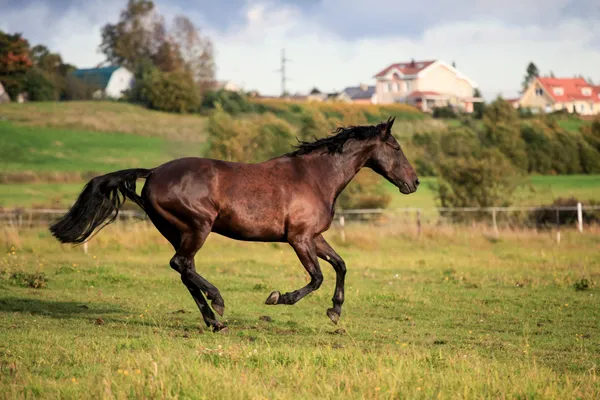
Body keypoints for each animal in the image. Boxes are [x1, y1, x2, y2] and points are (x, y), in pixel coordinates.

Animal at [50, 116, 418, 332]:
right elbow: (316, 278)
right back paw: (218, 302)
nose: (413, 183)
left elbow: (340, 265)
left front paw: (335, 311)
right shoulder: (299, 238)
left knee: (184, 270)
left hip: (178, 232)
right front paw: (278, 297)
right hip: (197, 227)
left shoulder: (315, 237)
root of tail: (152, 173)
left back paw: (215, 321)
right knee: (182, 264)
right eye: (397, 147)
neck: (315, 177)